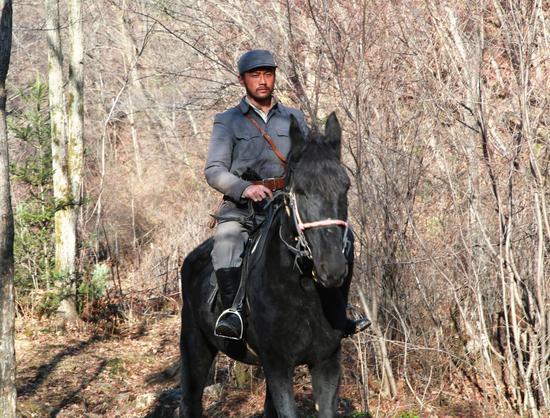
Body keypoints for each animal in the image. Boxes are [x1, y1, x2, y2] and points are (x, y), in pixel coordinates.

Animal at [179, 112, 356, 416]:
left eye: (345, 186)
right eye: (300, 190)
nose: (332, 268)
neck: (303, 291)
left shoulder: (326, 362)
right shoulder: (277, 366)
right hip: (196, 351)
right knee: (191, 401)